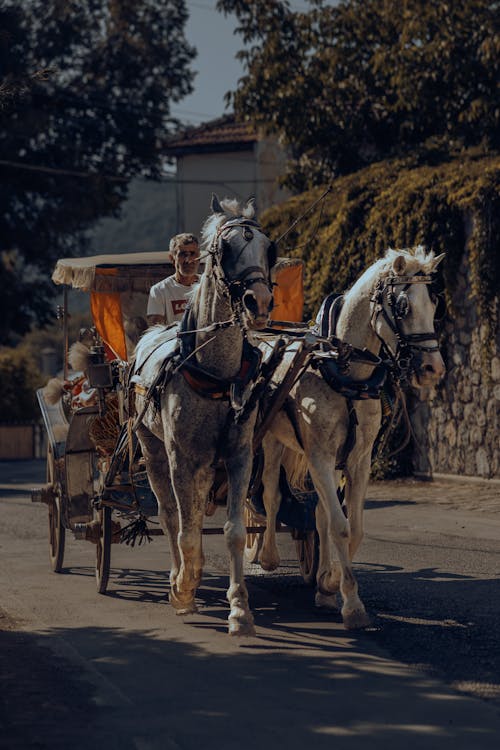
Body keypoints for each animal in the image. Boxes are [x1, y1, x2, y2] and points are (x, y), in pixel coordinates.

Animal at [133, 195, 274, 636]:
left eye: (269, 248)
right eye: (224, 250)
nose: (259, 302)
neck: (216, 373)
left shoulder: (239, 454)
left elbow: (232, 532)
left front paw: (240, 609)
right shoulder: (181, 456)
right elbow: (185, 527)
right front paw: (183, 590)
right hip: (154, 451)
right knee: (170, 515)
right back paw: (178, 578)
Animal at [258, 250, 446, 632]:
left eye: (435, 302)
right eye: (402, 306)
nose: (433, 368)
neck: (344, 372)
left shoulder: (358, 459)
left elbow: (351, 528)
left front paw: (331, 584)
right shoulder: (319, 456)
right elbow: (341, 528)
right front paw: (352, 606)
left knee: (318, 513)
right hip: (272, 440)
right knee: (269, 494)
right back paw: (267, 556)